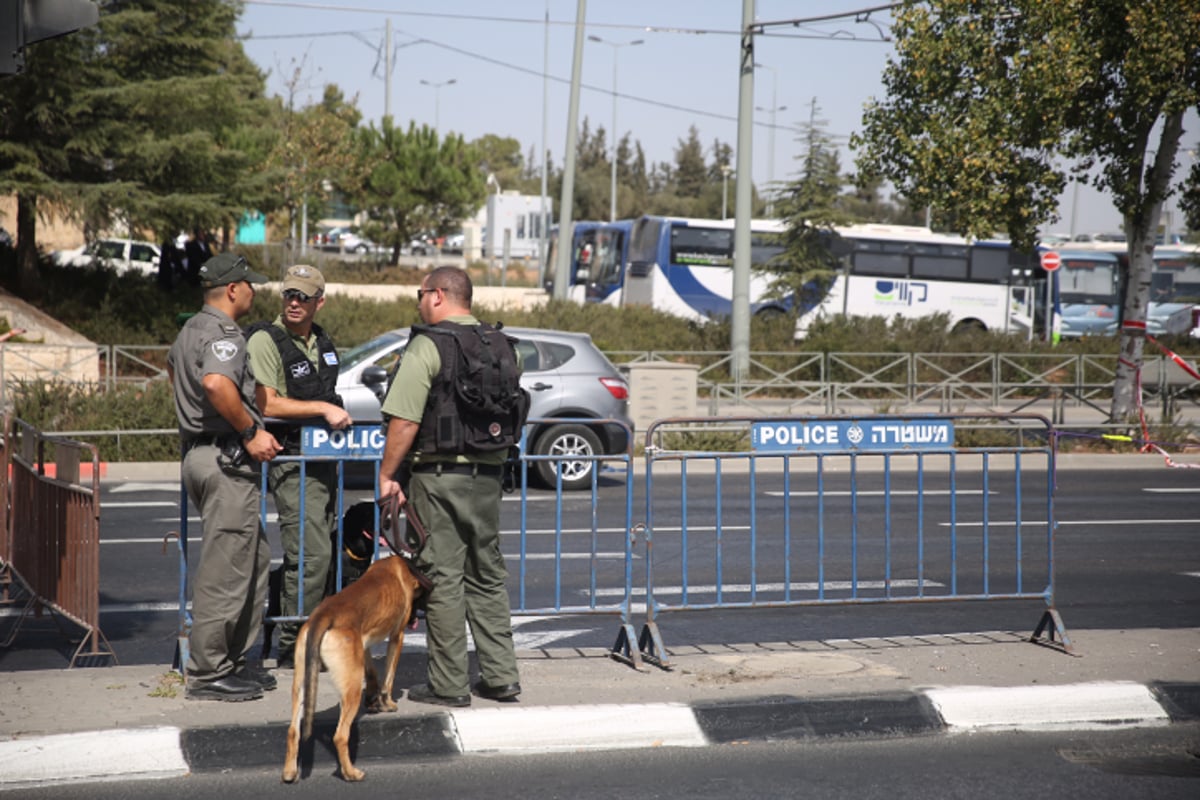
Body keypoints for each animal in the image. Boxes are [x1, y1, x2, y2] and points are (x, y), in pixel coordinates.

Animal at [283, 554, 424, 786]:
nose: (415, 620)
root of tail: (323, 615)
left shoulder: (363, 645)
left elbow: (373, 673)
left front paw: (374, 699)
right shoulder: (398, 636)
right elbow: (388, 678)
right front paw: (387, 702)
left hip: (301, 684)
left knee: (293, 730)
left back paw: (289, 771)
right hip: (352, 690)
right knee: (340, 735)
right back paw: (350, 773)